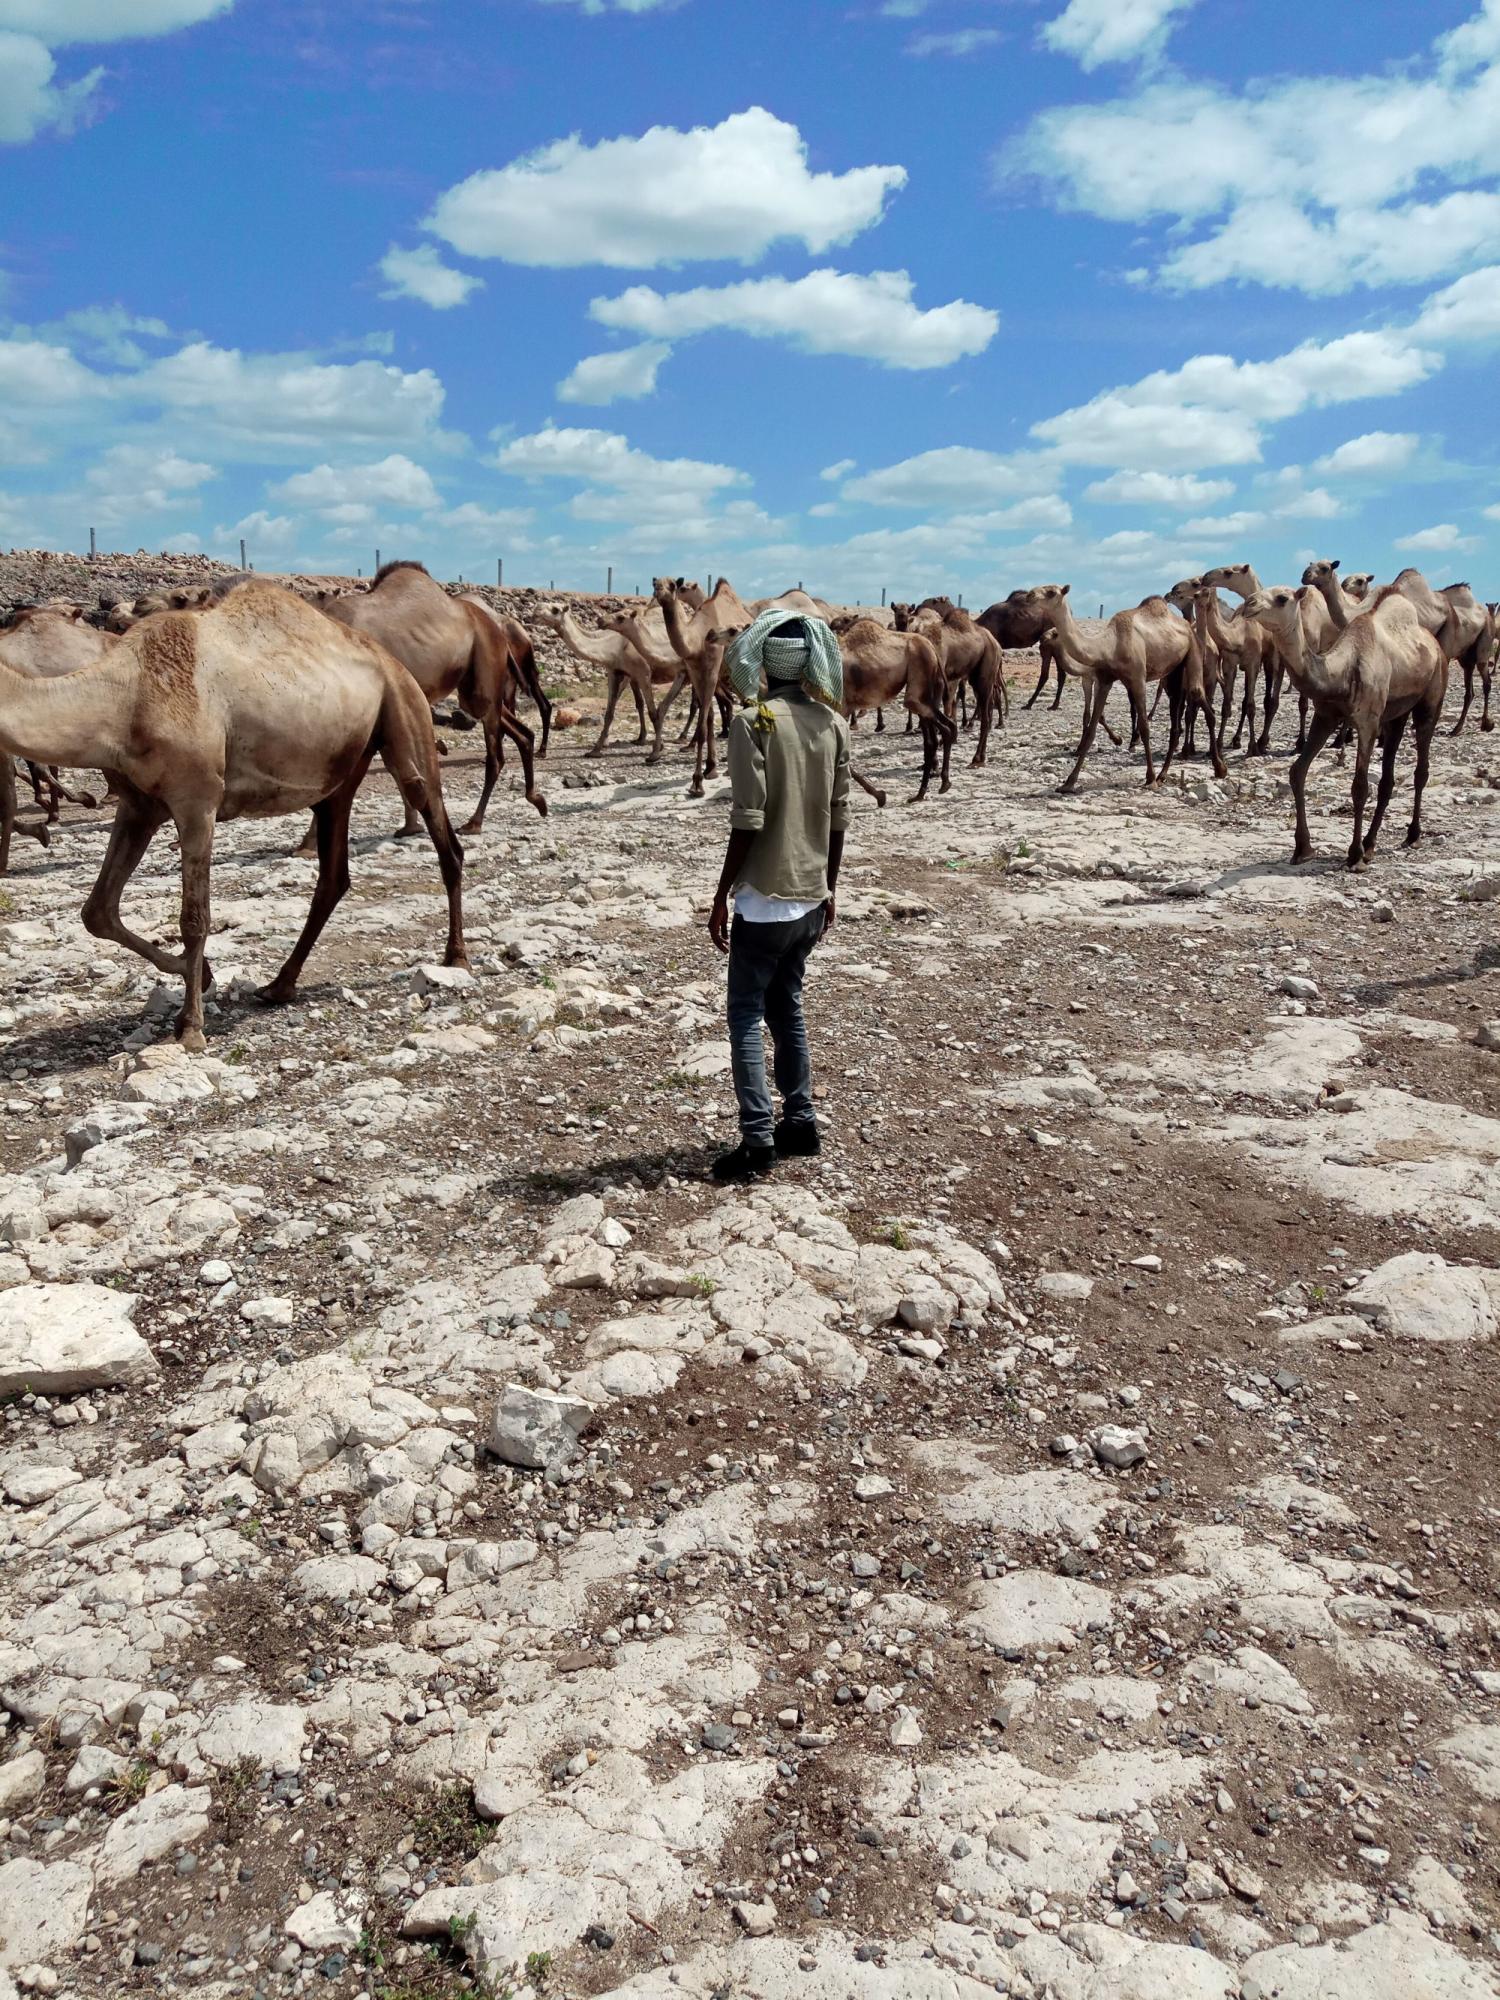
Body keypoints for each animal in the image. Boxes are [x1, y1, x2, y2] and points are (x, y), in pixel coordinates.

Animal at [0, 581, 467, 1049]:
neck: (123, 700)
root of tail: (391, 662)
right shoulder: (138, 806)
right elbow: (97, 911)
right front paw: (203, 976)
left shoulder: (197, 800)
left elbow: (194, 918)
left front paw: (191, 1026)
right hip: (341, 773)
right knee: (334, 875)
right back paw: (279, 986)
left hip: (405, 711)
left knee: (441, 830)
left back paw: (455, 956)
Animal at [319, 561, 544, 833]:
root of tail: (500, 631)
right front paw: (410, 826)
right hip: (473, 693)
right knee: (521, 732)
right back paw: (537, 799)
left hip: (486, 674)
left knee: (495, 756)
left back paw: (474, 822)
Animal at [1034, 585, 1222, 795]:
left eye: (1051, 592)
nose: (1029, 595)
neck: (1110, 645)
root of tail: (1189, 626)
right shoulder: (1104, 680)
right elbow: (1092, 727)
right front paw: (1069, 782)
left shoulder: (1137, 678)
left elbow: (1144, 726)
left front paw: (1149, 778)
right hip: (1174, 673)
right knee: (1176, 722)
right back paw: (1164, 774)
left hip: (1193, 651)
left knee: (1198, 696)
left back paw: (1218, 767)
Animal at [1245, 582, 1447, 869]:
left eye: (1282, 598)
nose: (1248, 604)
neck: (1341, 672)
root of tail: (1435, 645)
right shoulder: (1325, 716)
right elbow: (1297, 771)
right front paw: (1303, 849)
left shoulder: (1368, 721)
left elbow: (1359, 786)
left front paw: (1354, 856)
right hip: (1395, 715)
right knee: (1388, 778)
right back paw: (1371, 844)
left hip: (1431, 700)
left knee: (1421, 769)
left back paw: (1412, 836)